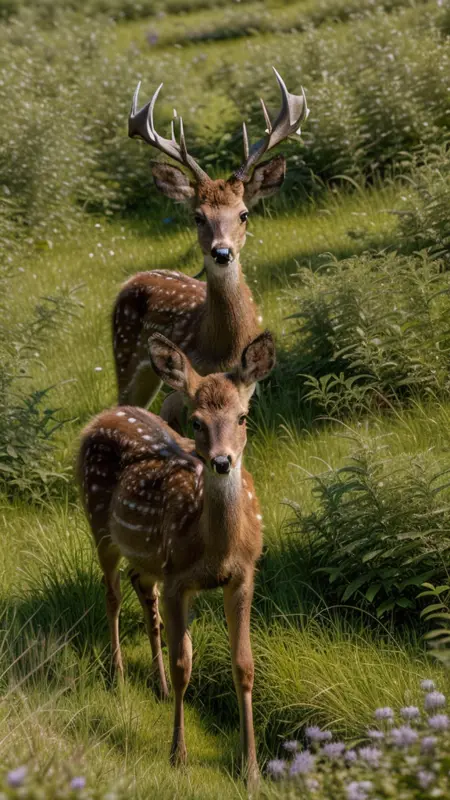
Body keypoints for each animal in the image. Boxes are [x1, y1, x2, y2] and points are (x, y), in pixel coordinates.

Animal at [78, 329, 276, 786]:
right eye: (196, 421)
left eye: (243, 417)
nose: (221, 461)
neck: (215, 549)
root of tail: (105, 415)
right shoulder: (177, 578)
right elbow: (185, 660)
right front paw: (177, 755)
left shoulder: (244, 574)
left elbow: (244, 665)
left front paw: (251, 768)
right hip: (98, 524)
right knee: (112, 593)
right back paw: (117, 675)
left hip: (148, 557)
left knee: (140, 587)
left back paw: (160, 684)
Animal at [113, 68, 308, 429]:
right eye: (197, 216)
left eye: (244, 214)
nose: (222, 253)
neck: (221, 346)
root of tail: (133, 279)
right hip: (125, 355)